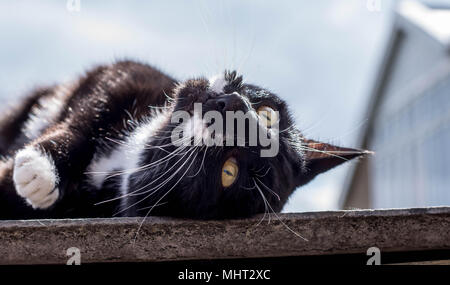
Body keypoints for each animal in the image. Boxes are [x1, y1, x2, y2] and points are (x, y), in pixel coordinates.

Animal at [0, 61, 368, 219]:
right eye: (267, 115)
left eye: (228, 173)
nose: (234, 106)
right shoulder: (127, 75)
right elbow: (85, 117)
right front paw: (43, 167)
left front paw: (34, 176)